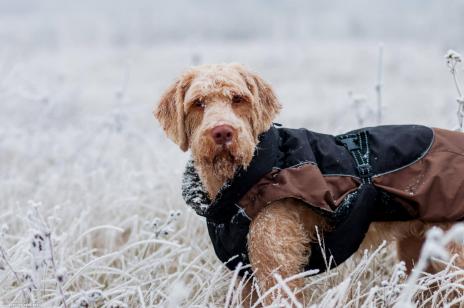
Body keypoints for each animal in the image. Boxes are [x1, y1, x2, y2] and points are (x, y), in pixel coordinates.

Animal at [154, 63, 464, 306]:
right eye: (198, 103)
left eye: (238, 99)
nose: (222, 132)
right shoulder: (246, 273)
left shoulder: (277, 267)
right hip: (418, 252)